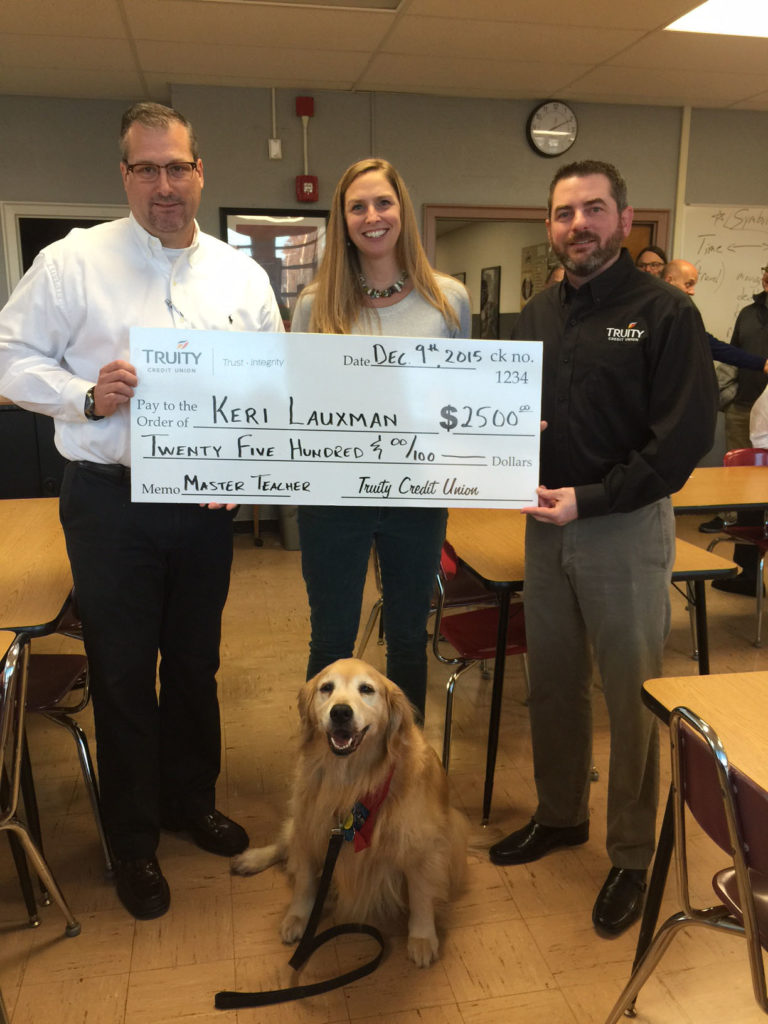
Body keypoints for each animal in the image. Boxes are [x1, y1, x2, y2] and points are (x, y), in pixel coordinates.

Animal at [232, 658, 468, 967]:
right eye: (326, 688)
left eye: (366, 689)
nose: (341, 712)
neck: (353, 781)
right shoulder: (313, 826)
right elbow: (305, 881)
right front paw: (298, 917)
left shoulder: (421, 844)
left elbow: (420, 894)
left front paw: (422, 937)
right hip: (301, 820)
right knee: (285, 845)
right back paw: (251, 859)